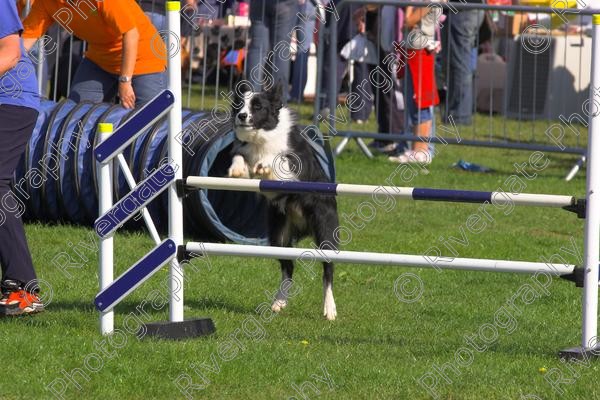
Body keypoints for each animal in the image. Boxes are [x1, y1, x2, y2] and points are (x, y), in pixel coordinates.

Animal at [226, 85, 338, 322]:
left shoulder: (294, 164)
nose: (242, 116)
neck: (262, 135)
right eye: (239, 104)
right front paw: (237, 169)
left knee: (328, 270)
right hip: (278, 235)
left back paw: (329, 309)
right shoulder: (244, 150)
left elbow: (277, 158)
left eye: (257, 106)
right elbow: (240, 156)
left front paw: (264, 164)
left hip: (325, 230)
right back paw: (279, 301)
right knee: (288, 267)